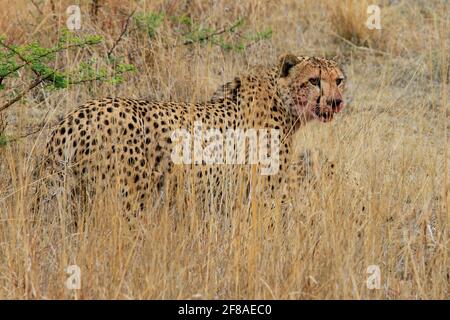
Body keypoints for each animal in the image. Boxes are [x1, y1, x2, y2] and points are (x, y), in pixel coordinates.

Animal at [43, 54, 344, 215]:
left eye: (338, 80)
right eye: (313, 81)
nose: (336, 102)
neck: (283, 101)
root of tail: (75, 116)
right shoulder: (261, 193)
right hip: (127, 198)